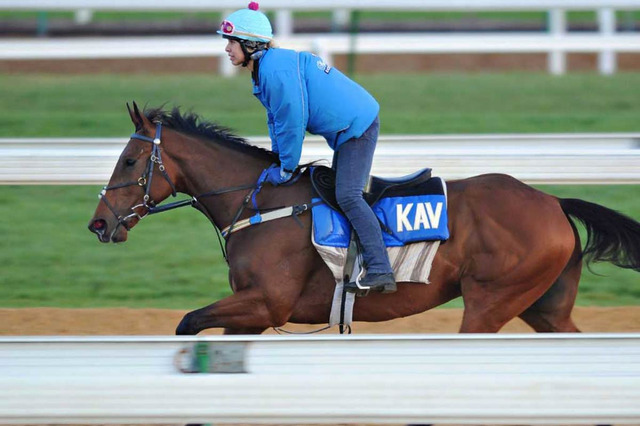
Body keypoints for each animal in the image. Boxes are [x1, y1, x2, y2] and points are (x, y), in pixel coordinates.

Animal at [88, 102, 640, 335]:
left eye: (130, 161)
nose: (98, 224)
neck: (259, 205)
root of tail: (551, 201)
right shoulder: (255, 315)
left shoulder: (266, 303)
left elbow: (186, 323)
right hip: (544, 307)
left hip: (490, 302)